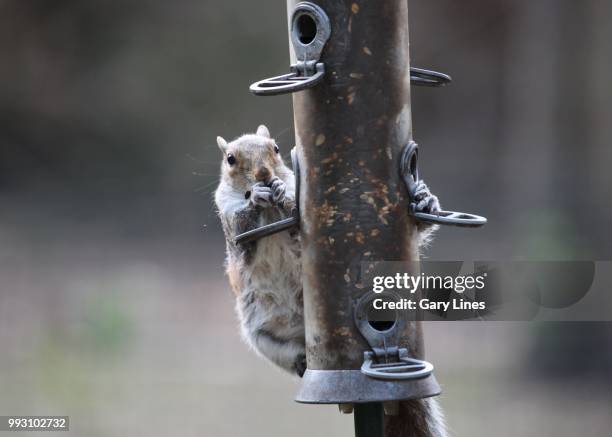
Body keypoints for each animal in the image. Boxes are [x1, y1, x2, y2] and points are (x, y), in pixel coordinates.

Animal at [215, 124, 440, 376]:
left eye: (276, 148)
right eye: (230, 159)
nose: (263, 174)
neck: (270, 210)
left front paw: (426, 201)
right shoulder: (229, 221)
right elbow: (242, 242)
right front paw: (255, 197)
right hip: (262, 338)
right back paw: (301, 361)